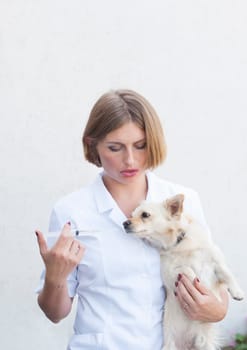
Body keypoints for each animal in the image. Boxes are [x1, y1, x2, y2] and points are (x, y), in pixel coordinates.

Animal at [122, 194, 244, 350]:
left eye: (145, 215)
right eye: (131, 215)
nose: (125, 223)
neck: (180, 244)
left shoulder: (214, 258)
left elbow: (226, 272)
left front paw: (237, 292)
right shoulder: (169, 273)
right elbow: (185, 269)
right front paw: (194, 281)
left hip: (205, 344)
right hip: (170, 345)